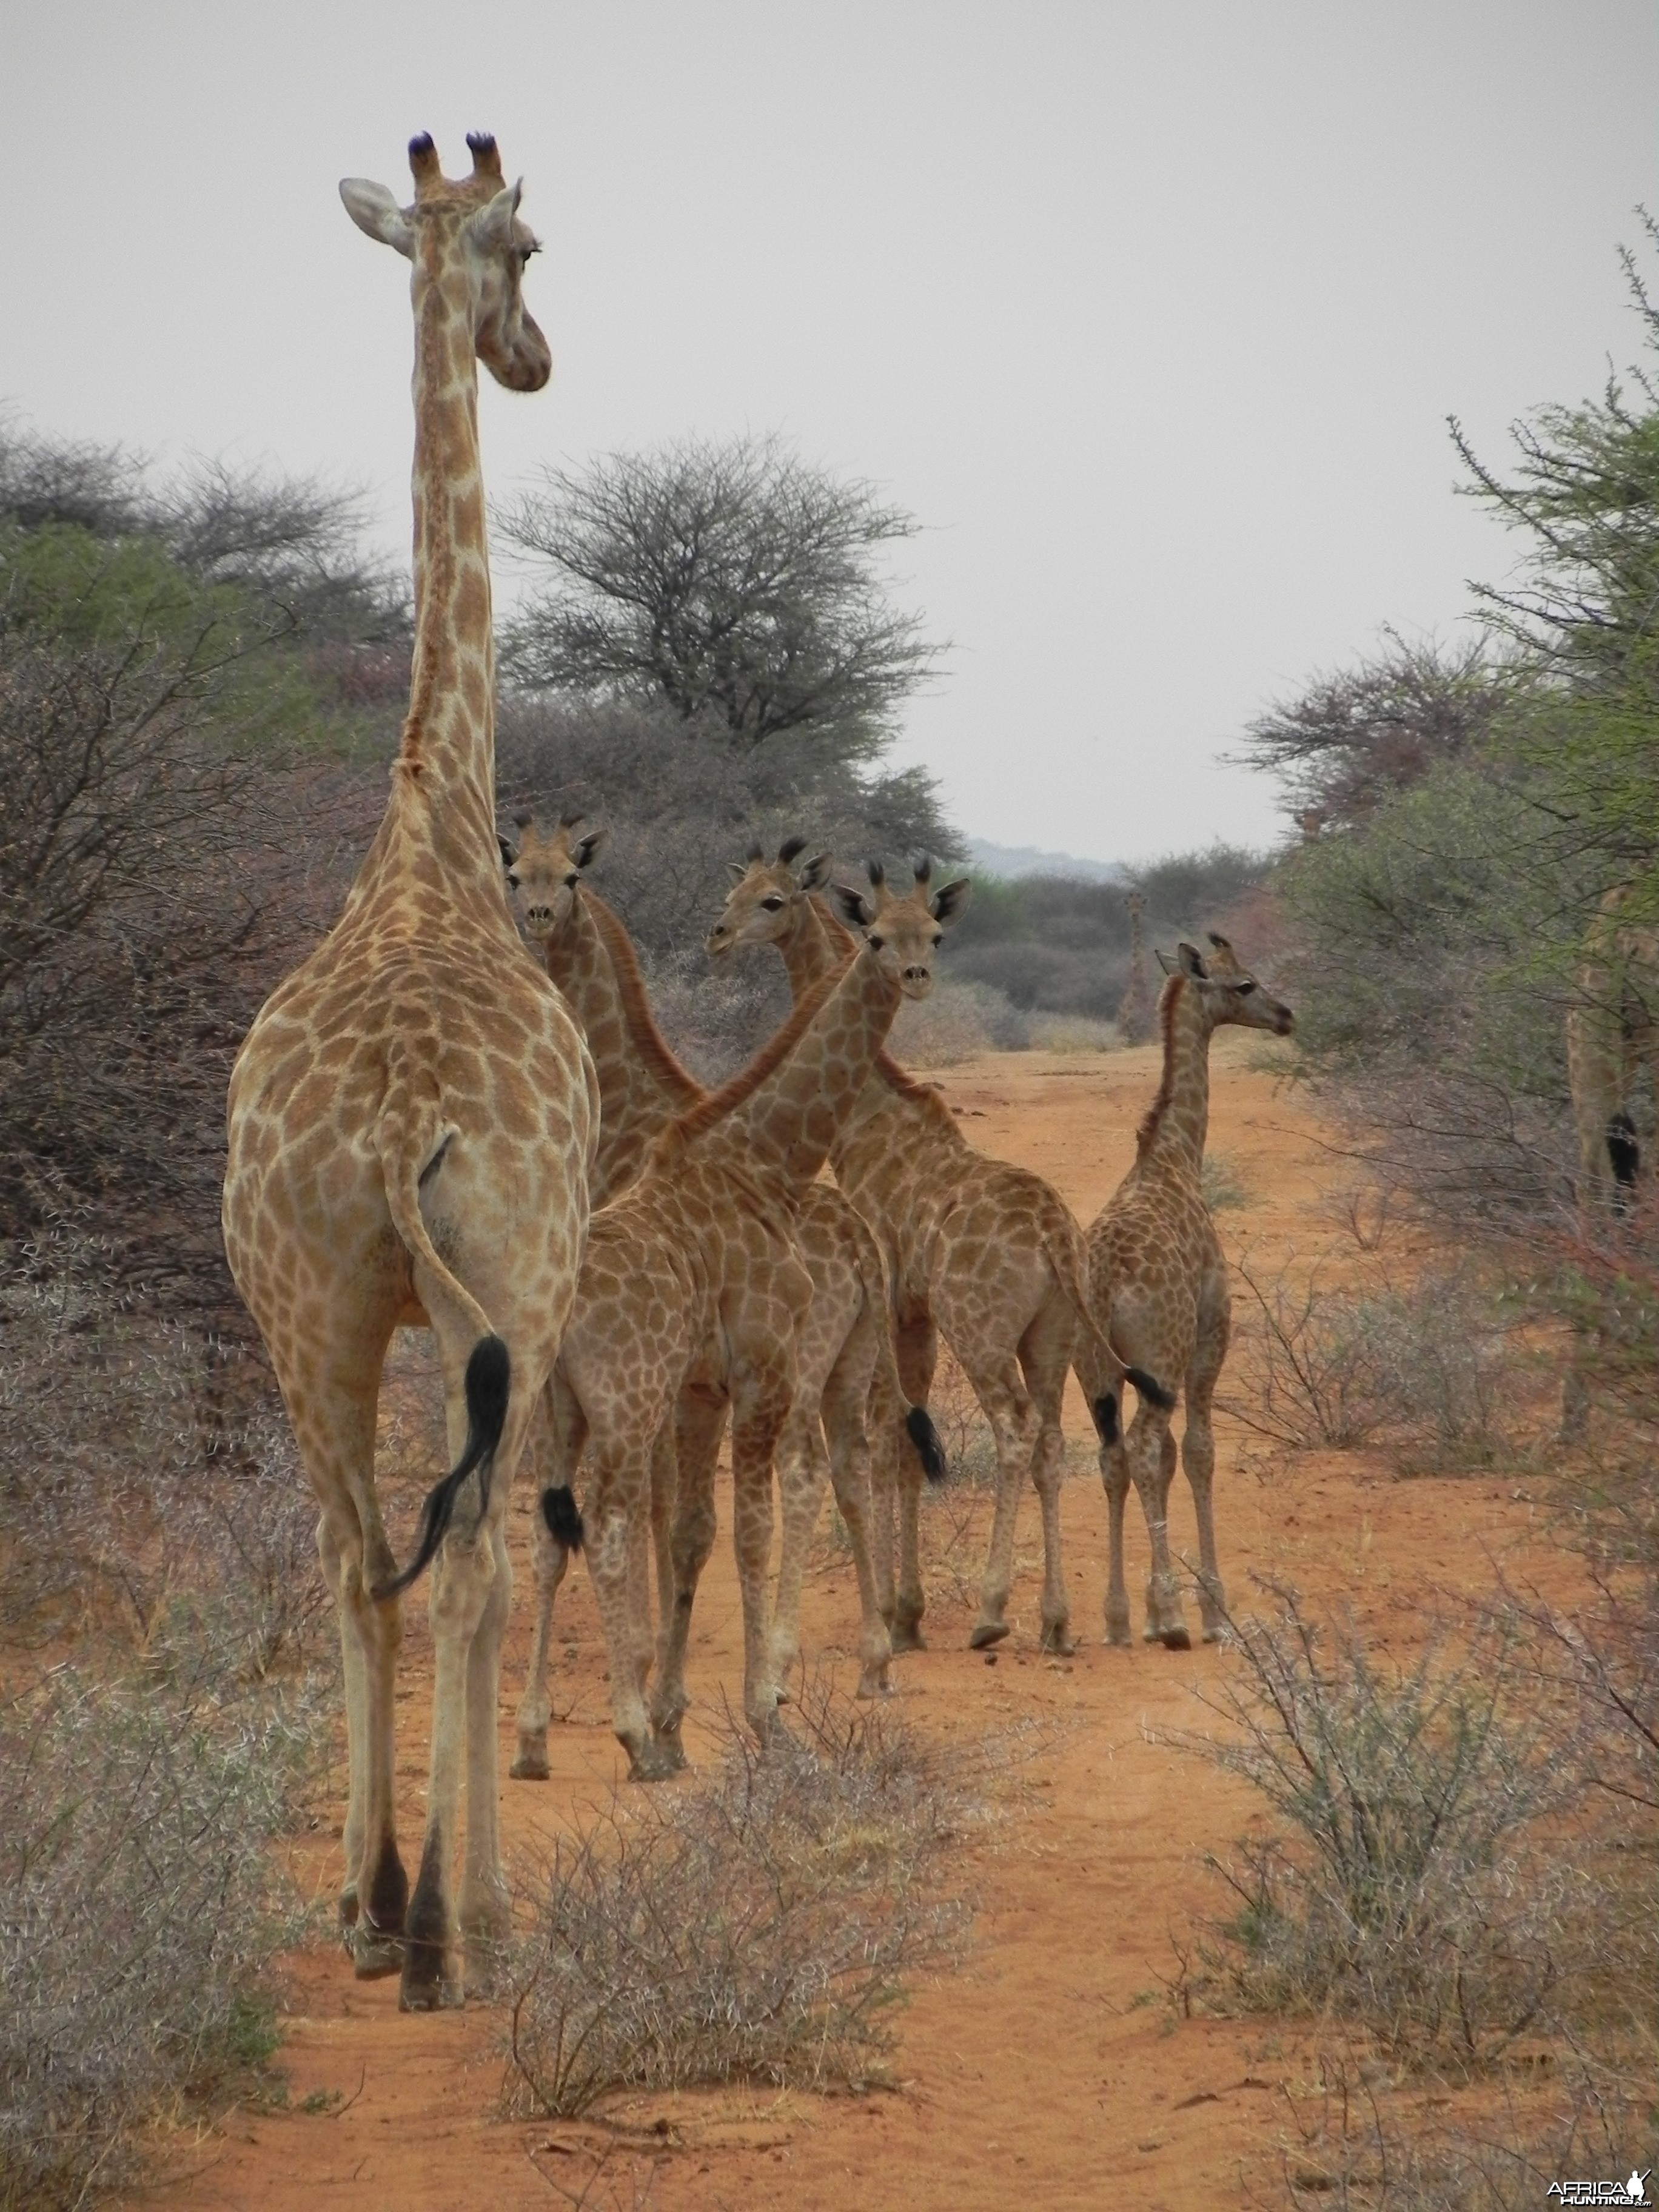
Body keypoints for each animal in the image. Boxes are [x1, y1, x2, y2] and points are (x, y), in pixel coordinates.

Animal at [493, 823, 942, 1787]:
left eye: (935, 929)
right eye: (876, 936)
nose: (916, 976)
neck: (762, 1155)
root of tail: (866, 1242)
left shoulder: (710, 1388)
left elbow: (701, 1529)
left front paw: (685, 1710)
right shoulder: (748, 1377)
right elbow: (732, 1528)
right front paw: (745, 1712)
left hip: (589, 1404)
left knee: (571, 1528)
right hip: (634, 1400)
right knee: (611, 1523)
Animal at [703, 845, 1159, 1663]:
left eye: (773, 901)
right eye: (738, 890)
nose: (717, 935)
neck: (869, 1120)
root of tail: (1054, 1236)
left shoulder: (892, 1299)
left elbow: (891, 1434)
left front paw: (895, 1612)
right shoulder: (914, 1314)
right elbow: (910, 1437)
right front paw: (906, 1614)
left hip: (981, 1331)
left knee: (1015, 1429)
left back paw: (993, 1611)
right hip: (1050, 1334)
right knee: (1051, 1439)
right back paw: (1057, 1621)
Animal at [1079, 929, 1301, 1646]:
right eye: (1245, 984)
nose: (1287, 1016)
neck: (1178, 1156)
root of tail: (1102, 1283)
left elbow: (1172, 1456)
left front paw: (1152, 1610)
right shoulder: (1209, 1339)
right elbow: (1200, 1451)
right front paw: (1212, 1607)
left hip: (1092, 1370)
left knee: (1114, 1457)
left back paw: (1119, 1619)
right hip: (1161, 1357)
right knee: (1148, 1448)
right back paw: (1171, 1615)